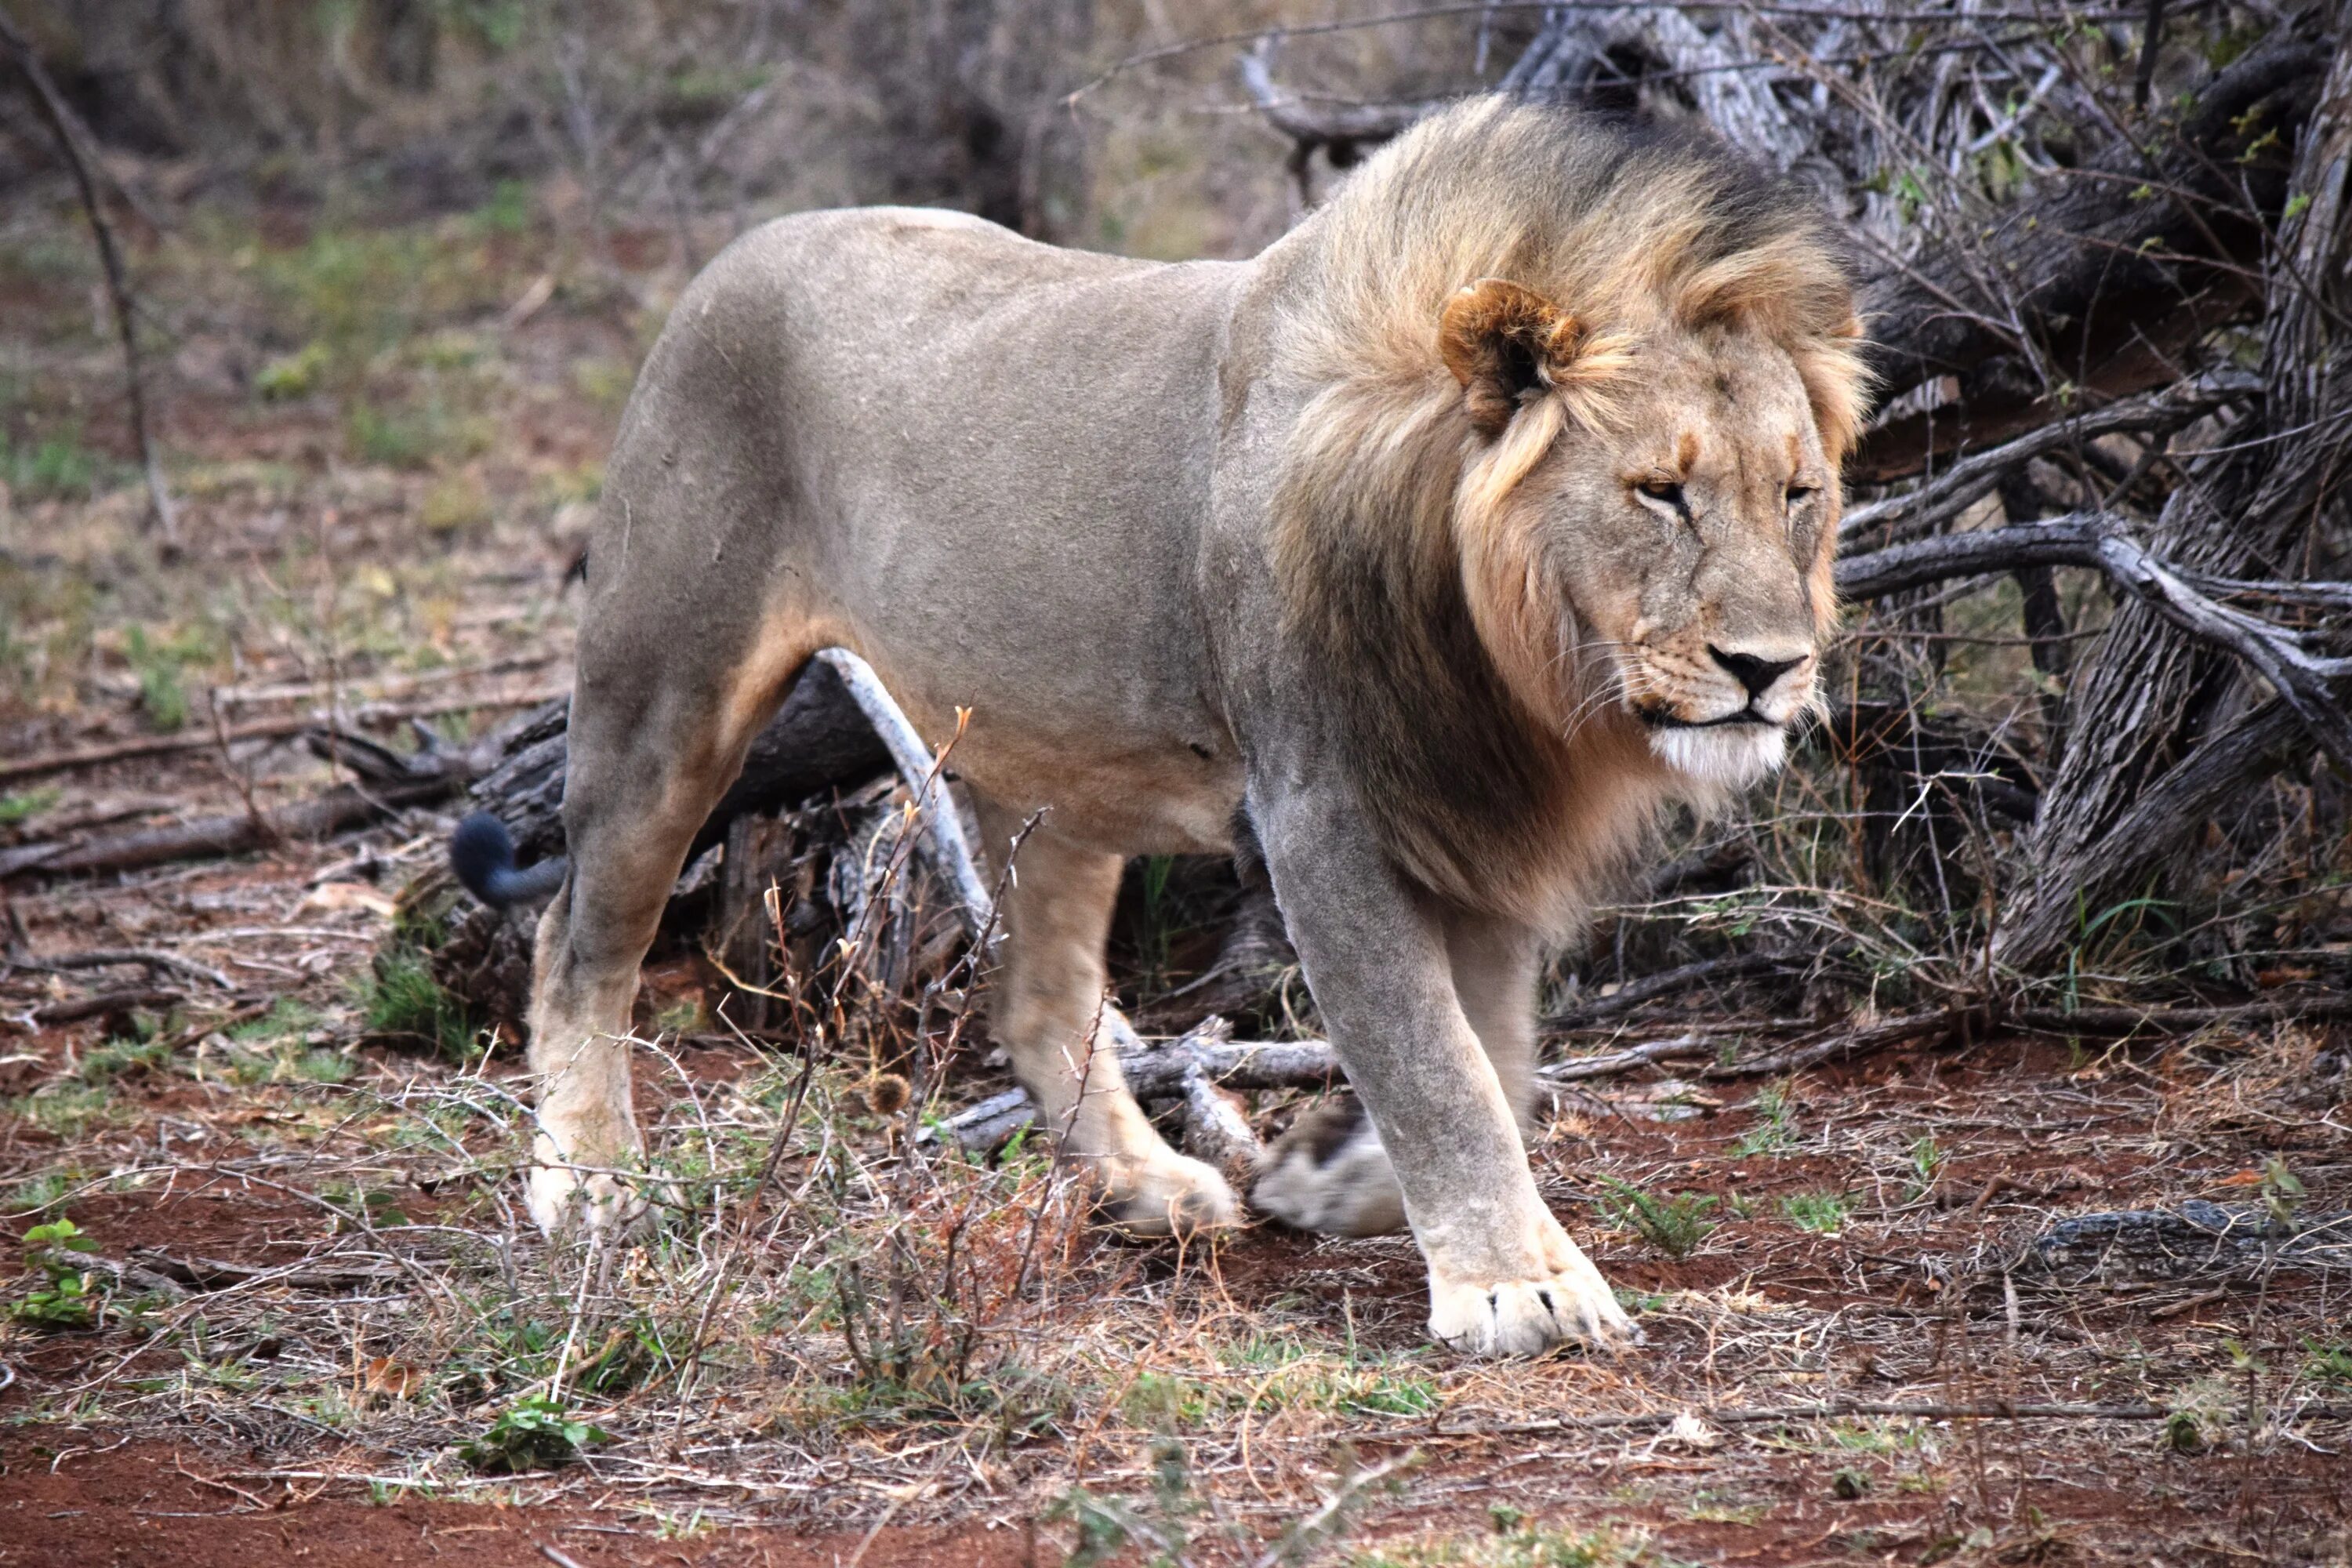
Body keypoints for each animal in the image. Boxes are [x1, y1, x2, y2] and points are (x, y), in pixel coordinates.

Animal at [449, 98, 1863, 1354]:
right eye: (1660, 492)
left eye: (1798, 493)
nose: (1769, 668)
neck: (1499, 649)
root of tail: (732, 258)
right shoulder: (1321, 816)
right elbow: (1437, 1061)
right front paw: (1518, 1290)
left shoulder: (1476, 817)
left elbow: (1498, 1054)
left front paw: (1343, 1177)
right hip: (665, 689)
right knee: (577, 937)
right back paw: (587, 1183)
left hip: (1052, 775)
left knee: (1036, 997)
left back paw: (1147, 1186)